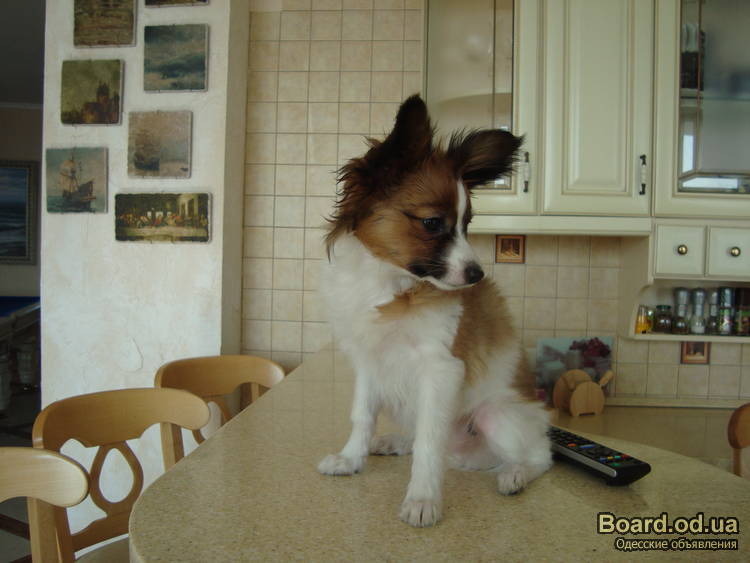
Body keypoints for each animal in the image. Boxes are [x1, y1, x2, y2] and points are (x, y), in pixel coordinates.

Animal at [317, 95, 552, 527]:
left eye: (467, 224)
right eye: (432, 223)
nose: (476, 274)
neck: (389, 284)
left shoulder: (440, 370)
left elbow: (429, 443)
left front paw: (423, 498)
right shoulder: (369, 363)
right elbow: (362, 416)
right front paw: (351, 459)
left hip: (496, 415)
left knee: (540, 456)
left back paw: (515, 474)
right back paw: (396, 441)